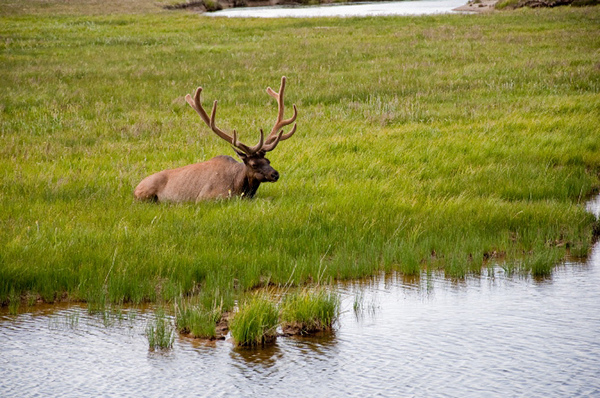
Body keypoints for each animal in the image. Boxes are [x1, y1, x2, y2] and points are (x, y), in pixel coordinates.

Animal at [134, 76, 298, 204]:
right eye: (253, 164)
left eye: (268, 160)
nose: (275, 174)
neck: (239, 185)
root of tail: (135, 188)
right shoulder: (206, 197)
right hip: (146, 195)